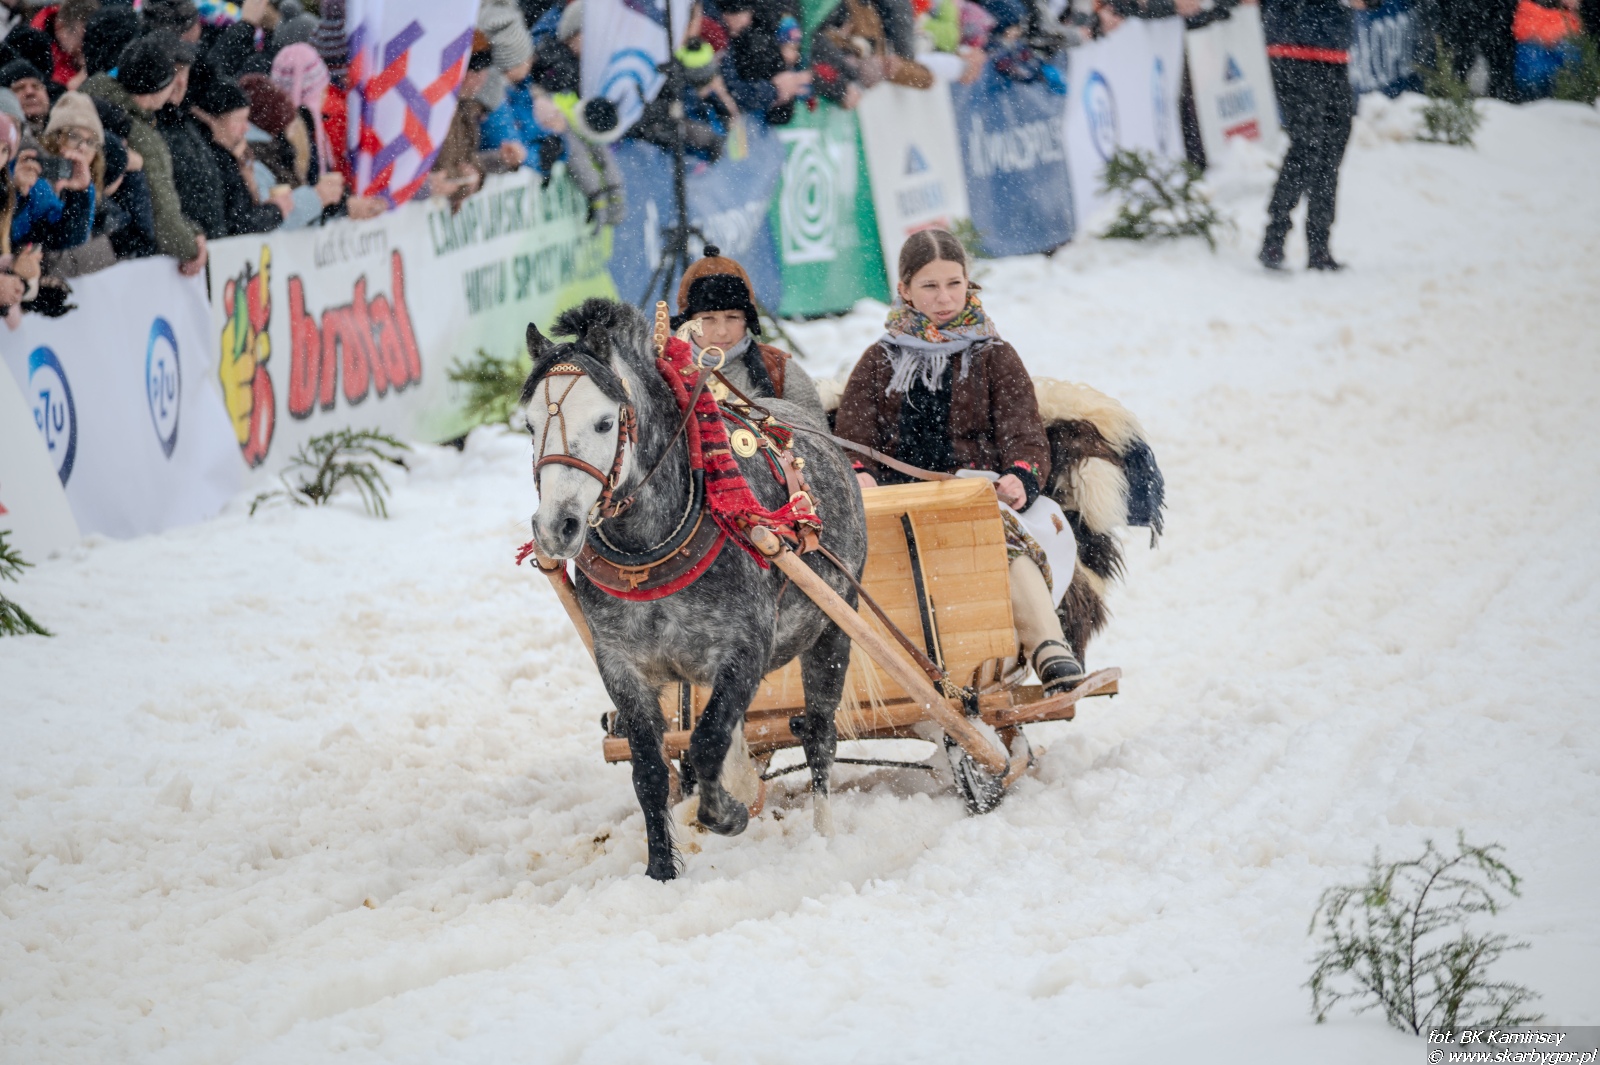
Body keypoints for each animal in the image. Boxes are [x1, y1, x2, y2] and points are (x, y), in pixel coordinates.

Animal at [518, 298, 868, 881]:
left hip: (834, 625)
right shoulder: (622, 666)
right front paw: (661, 869)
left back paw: (824, 836)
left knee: (819, 735)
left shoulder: (745, 650)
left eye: (604, 421)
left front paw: (724, 813)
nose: (556, 526)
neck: (649, 552)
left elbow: (706, 742)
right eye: (527, 426)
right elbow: (650, 771)